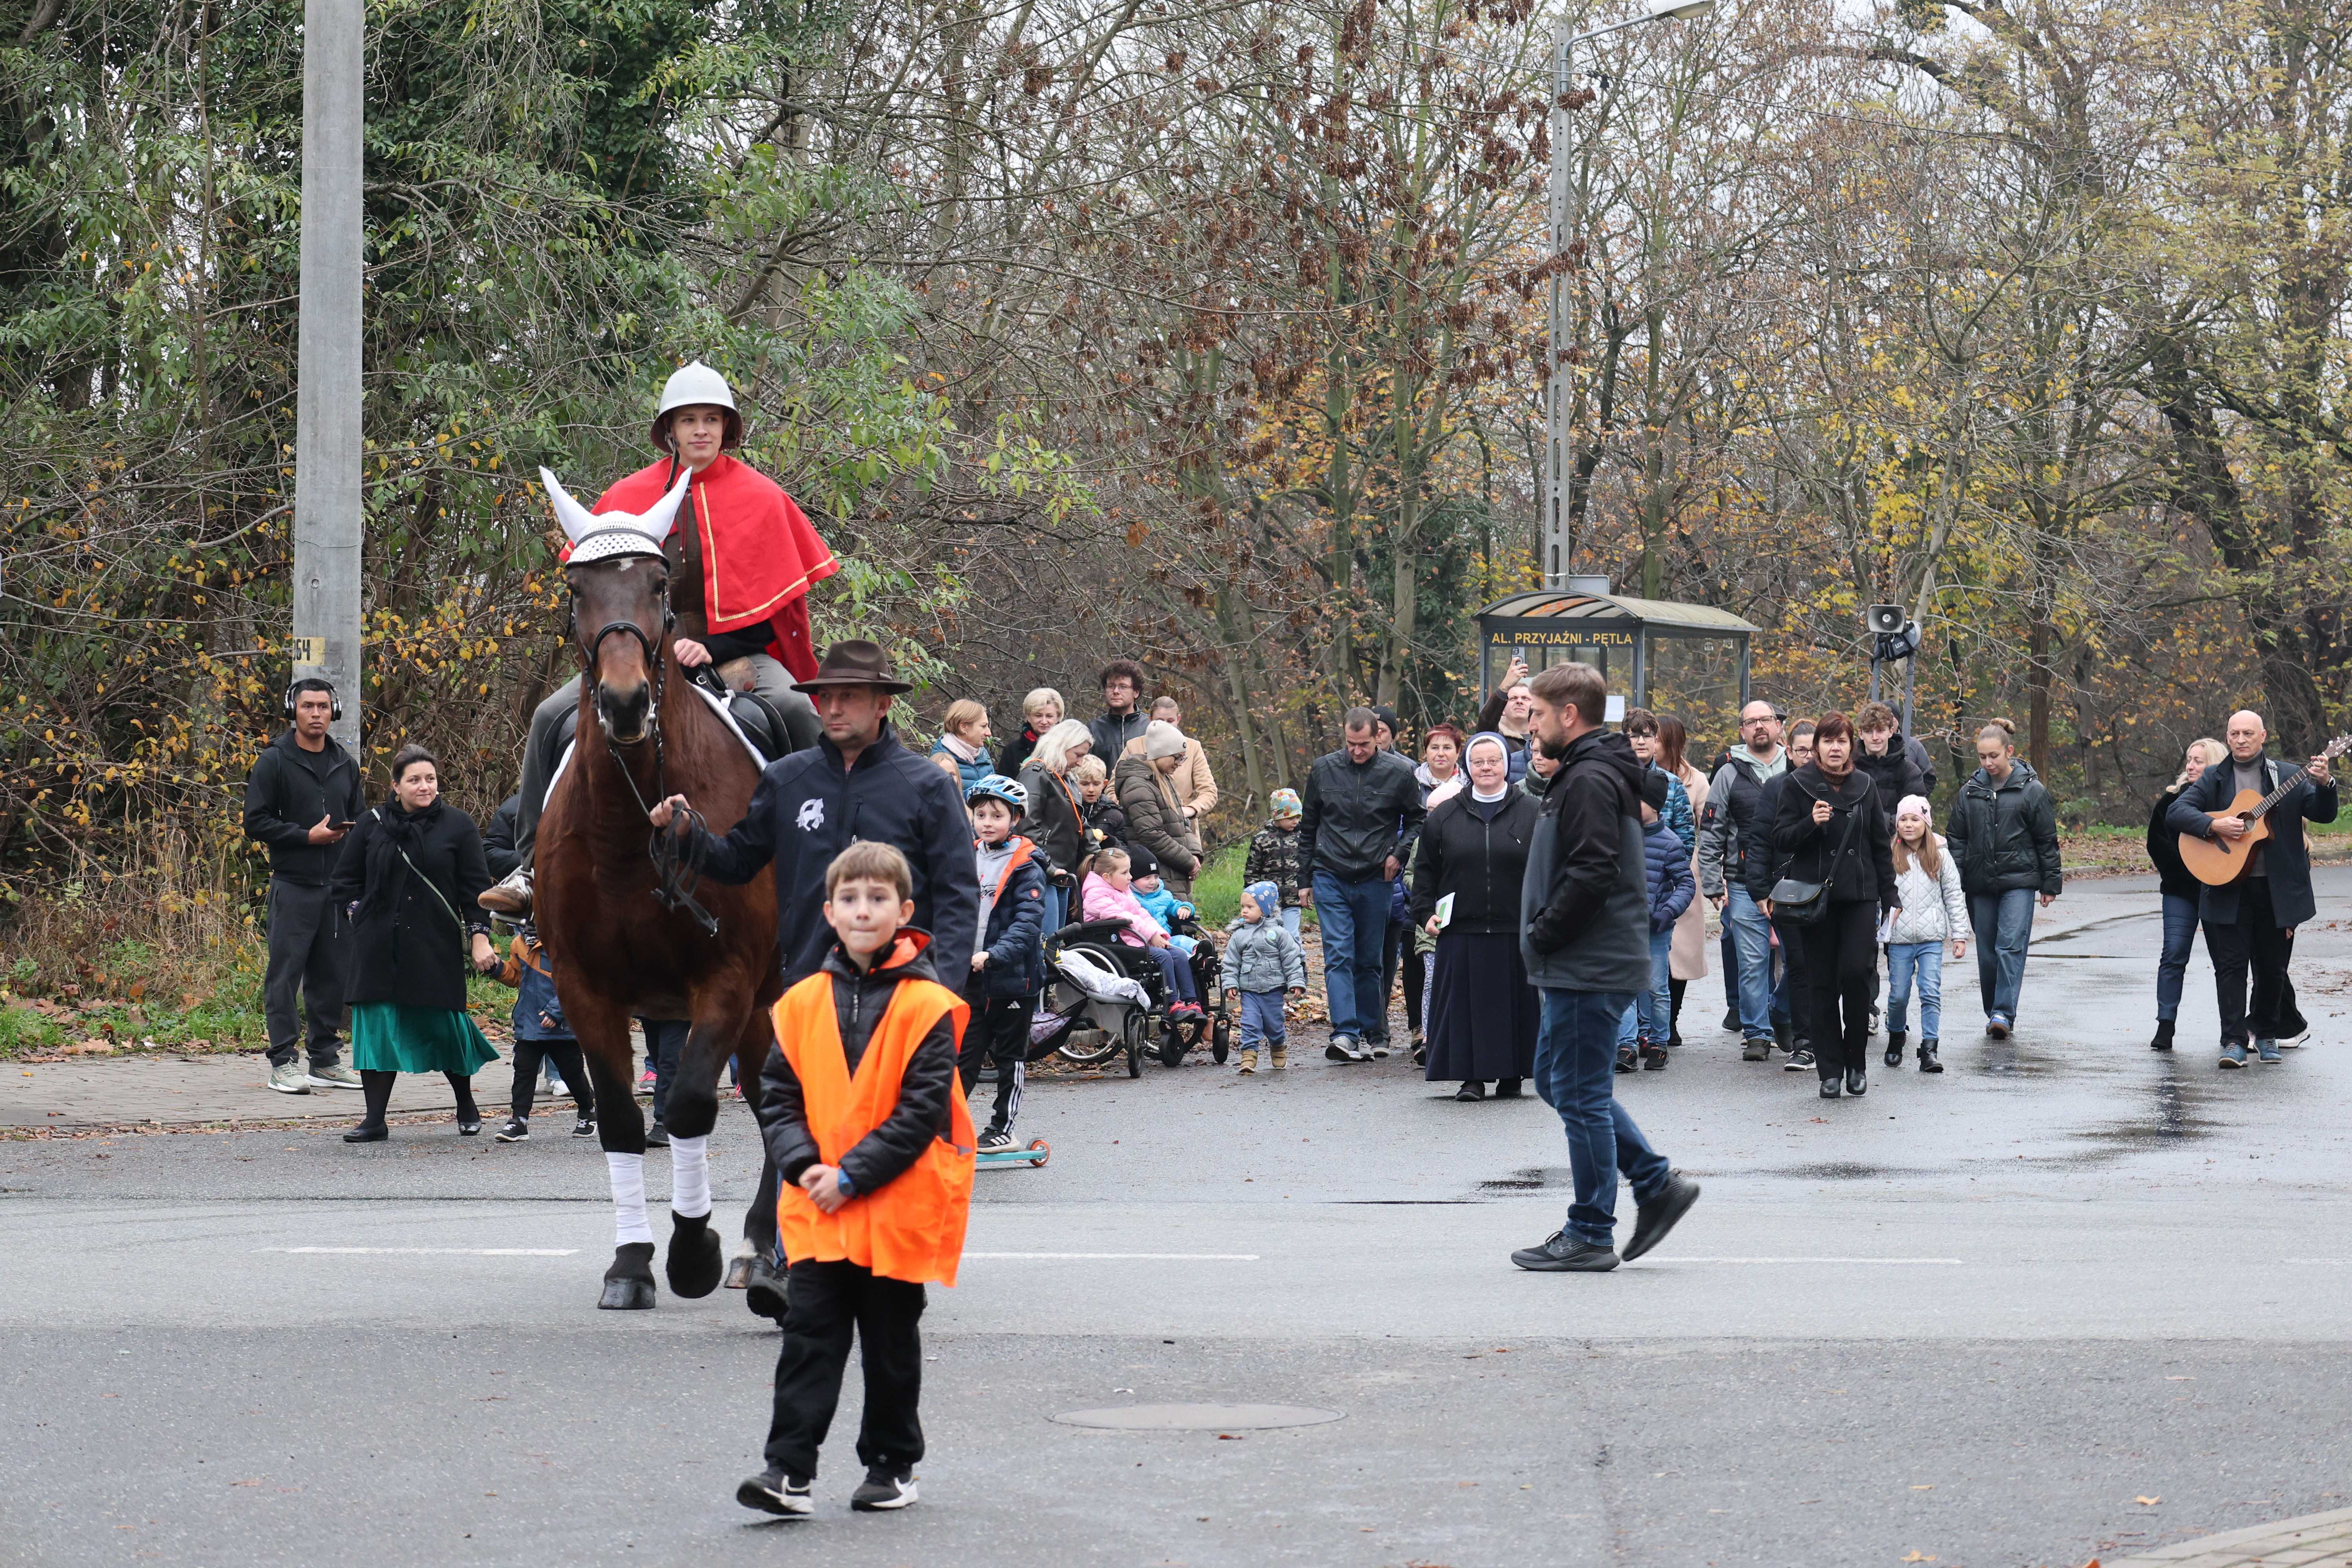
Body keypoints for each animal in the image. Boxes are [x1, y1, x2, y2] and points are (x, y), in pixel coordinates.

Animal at [532, 468, 785, 1310]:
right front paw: (632, 1262)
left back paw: (759, 1252)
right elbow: (617, 1118)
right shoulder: (585, 989)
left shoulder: (727, 980)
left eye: (657, 583)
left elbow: (688, 1105)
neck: (627, 831)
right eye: (576, 588)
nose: (624, 701)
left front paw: (694, 1251)